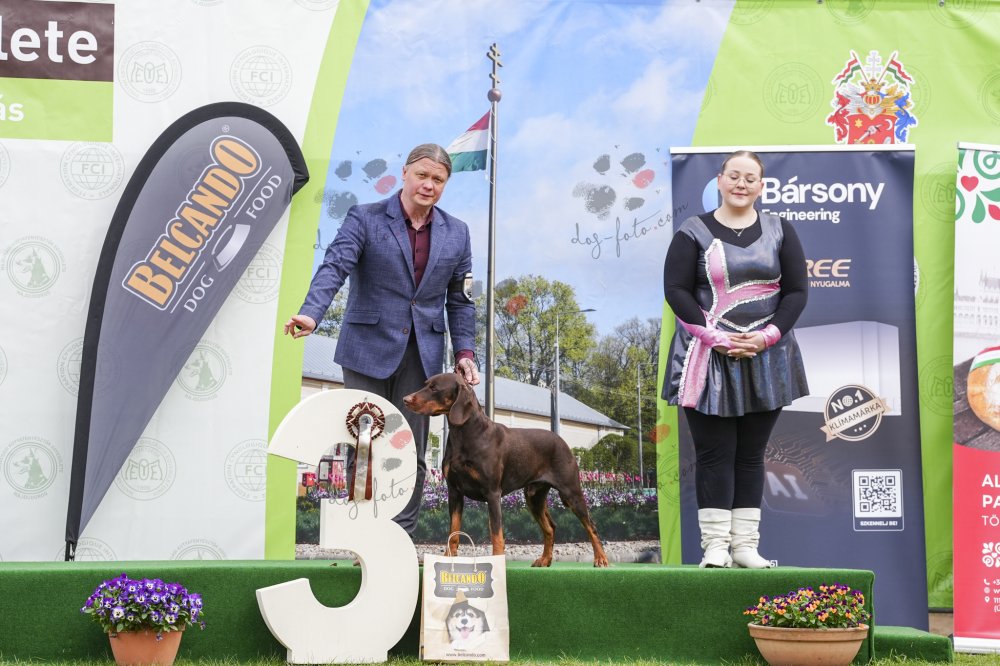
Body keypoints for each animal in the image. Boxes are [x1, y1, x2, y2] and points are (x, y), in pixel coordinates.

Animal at [403, 371, 610, 568]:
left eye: (434, 388)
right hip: (534, 496)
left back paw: (601, 559)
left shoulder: (492, 493)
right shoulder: (454, 491)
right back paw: (545, 560)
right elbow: (453, 530)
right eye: (425, 384)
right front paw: (448, 557)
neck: (464, 434)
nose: (405, 399)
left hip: (571, 492)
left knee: (591, 526)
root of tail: (562, 441)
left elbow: (496, 533)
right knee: (550, 527)